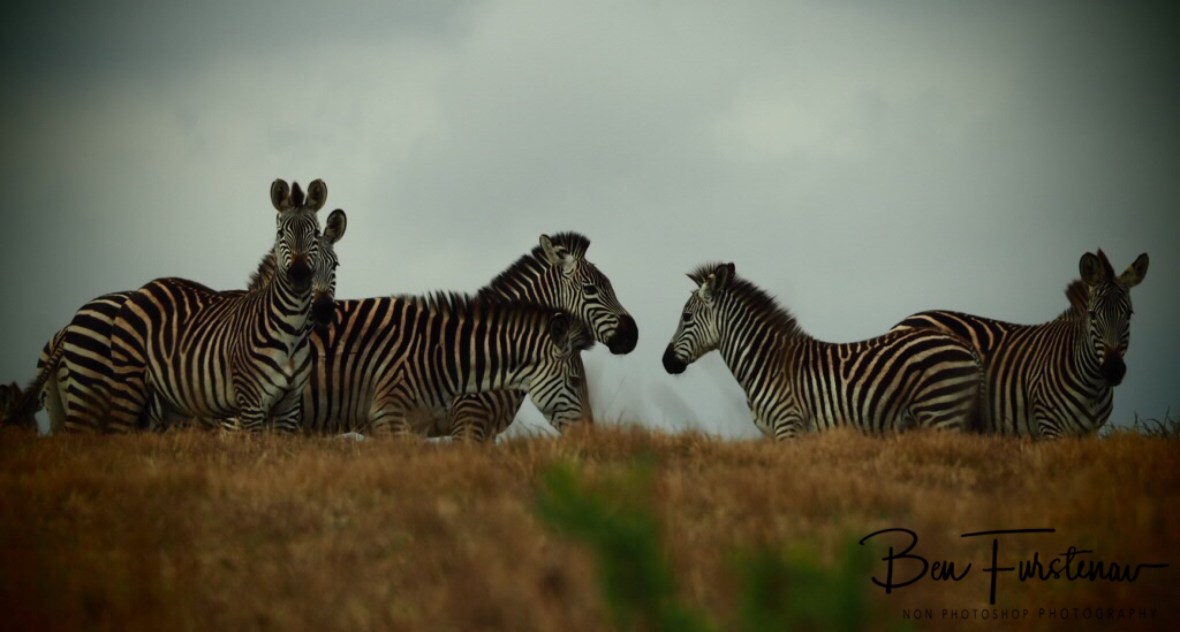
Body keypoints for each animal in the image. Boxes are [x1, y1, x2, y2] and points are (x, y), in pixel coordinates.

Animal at [103, 179, 342, 433]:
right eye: (280, 234)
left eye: (334, 265)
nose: (299, 275)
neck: (292, 332)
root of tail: (148, 286)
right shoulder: (249, 406)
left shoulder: (289, 407)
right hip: (129, 379)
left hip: (166, 402)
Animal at [662, 262, 984, 439]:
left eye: (686, 317)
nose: (665, 362)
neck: (768, 363)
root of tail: (968, 348)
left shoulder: (788, 425)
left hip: (941, 412)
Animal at [891, 249, 1149, 438]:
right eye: (1092, 315)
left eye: (1129, 314)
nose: (1114, 370)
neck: (1093, 384)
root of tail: (904, 321)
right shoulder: (1050, 427)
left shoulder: (1089, 432)